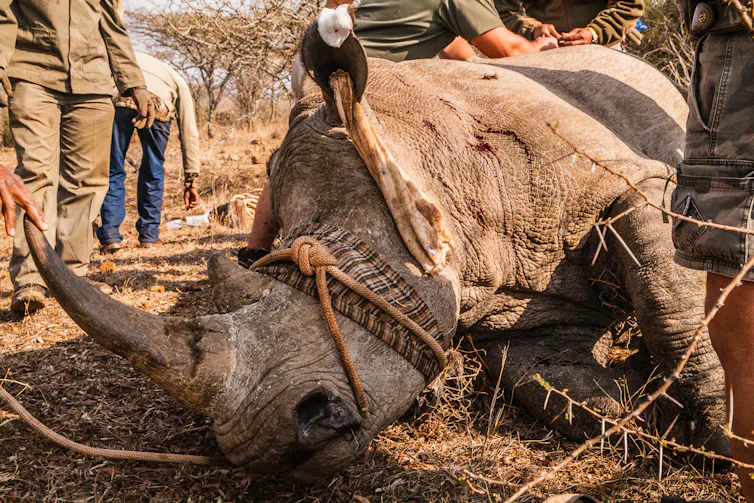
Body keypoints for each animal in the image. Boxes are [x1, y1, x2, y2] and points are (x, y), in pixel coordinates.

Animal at [22, 26, 726, 482]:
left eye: (347, 257)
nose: (274, 450)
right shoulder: (524, 322)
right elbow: (559, 388)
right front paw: (655, 417)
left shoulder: (640, 181)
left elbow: (670, 298)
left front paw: (720, 431)